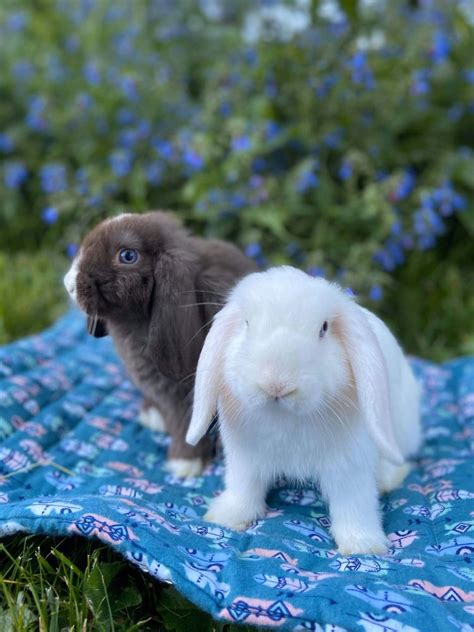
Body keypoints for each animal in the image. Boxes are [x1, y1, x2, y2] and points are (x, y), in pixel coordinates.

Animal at [187, 266, 420, 552]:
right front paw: (226, 518)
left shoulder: (349, 467)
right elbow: (243, 488)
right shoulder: (244, 459)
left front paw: (363, 546)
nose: (276, 384)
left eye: (324, 329)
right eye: (247, 324)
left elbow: (354, 504)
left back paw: (387, 479)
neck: (286, 418)